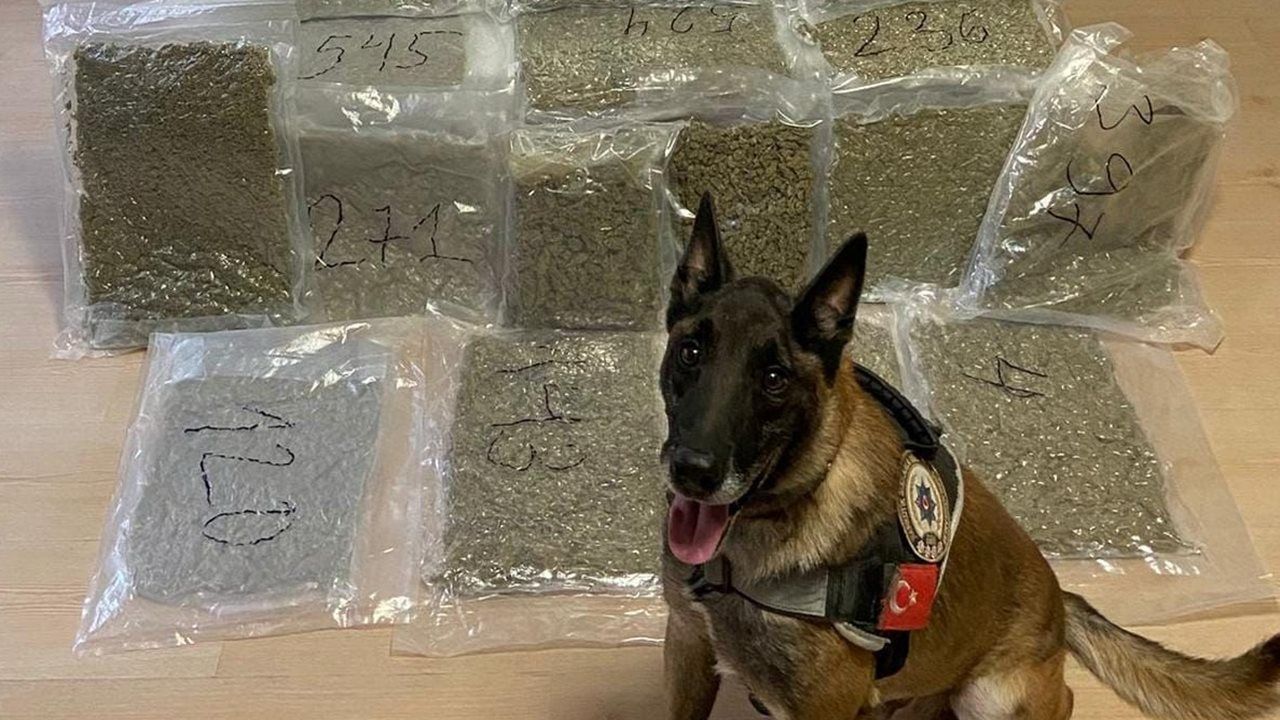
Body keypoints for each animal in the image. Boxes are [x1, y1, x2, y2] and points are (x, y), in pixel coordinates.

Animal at [660, 192, 1280, 720]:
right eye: (691, 352)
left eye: (773, 379)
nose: (691, 470)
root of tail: (1060, 601)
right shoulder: (687, 646)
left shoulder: (820, 709)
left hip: (992, 695)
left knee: (1063, 700)